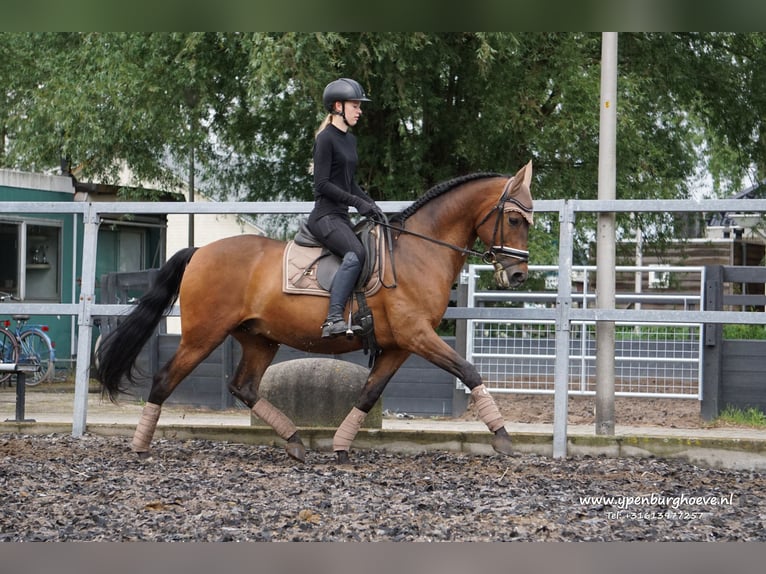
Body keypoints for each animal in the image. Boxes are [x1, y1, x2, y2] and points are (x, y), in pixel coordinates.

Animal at [94, 160, 536, 466]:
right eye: (514, 218)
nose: (517, 275)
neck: (418, 250)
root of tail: (200, 251)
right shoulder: (417, 336)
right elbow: (469, 371)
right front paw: (502, 436)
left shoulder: (400, 345)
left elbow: (369, 393)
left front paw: (341, 446)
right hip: (203, 335)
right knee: (166, 379)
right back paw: (140, 447)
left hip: (259, 339)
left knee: (244, 387)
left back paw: (294, 442)